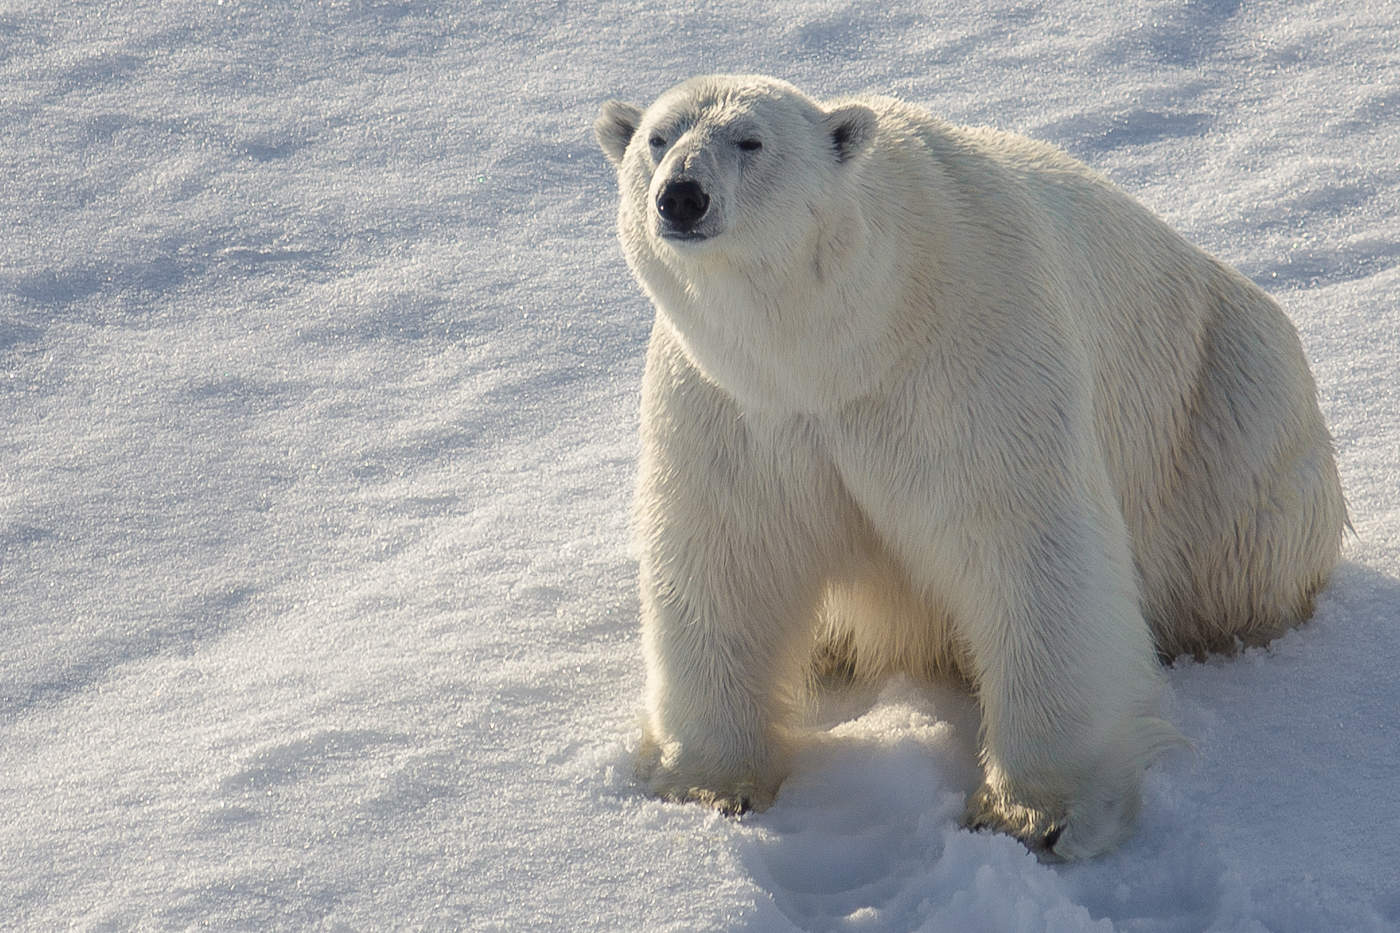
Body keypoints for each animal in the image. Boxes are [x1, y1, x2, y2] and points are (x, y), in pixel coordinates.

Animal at [590, 72, 1344, 857]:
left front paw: (1037, 812)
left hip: (1227, 412)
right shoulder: (735, 402)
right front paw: (706, 785)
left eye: (750, 140)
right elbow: (728, 557)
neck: (844, 343)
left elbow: (1028, 548)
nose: (681, 196)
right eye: (658, 138)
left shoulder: (971, 361)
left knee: (1242, 555)